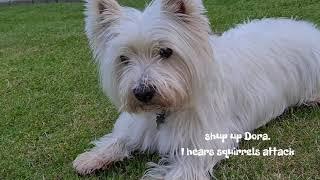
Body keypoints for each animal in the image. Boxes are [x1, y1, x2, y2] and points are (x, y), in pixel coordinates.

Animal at [72, 0, 320, 178]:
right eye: (123, 58)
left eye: (166, 52)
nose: (142, 93)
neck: (168, 109)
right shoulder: (137, 125)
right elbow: (120, 138)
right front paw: (92, 158)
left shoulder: (202, 144)